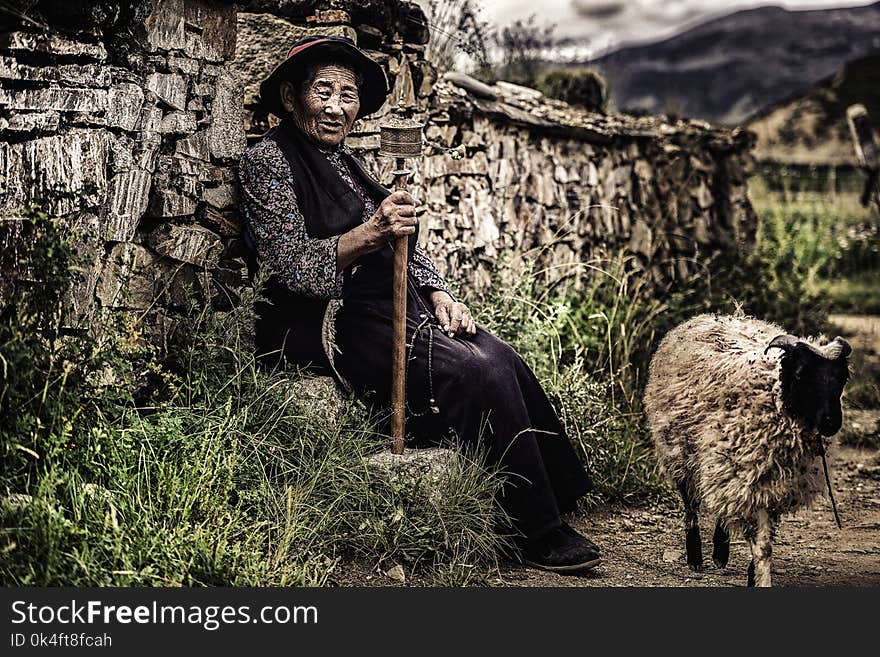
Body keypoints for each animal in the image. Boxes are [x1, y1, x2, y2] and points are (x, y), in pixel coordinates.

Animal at [644, 310, 848, 588]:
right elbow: (762, 545)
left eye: (842, 378)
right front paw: (760, 577)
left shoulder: (774, 486)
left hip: (724, 466)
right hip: (680, 452)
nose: (831, 422)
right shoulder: (749, 478)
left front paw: (753, 574)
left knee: (722, 508)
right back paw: (696, 557)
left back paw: (720, 552)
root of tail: (717, 316)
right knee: (691, 506)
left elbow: (767, 538)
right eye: (800, 374)